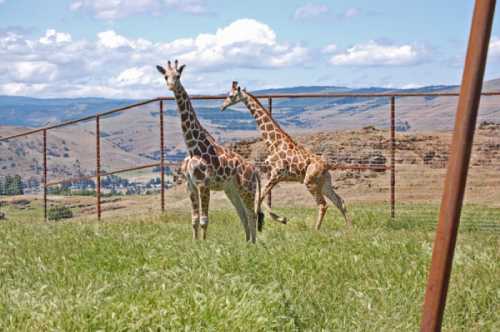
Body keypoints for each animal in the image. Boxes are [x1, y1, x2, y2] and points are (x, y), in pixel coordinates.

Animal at [156, 62, 266, 243]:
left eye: (178, 76)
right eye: (165, 76)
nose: (171, 86)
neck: (193, 148)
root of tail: (254, 170)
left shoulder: (204, 184)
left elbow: (204, 220)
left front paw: (204, 243)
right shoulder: (190, 185)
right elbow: (194, 219)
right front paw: (195, 243)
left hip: (247, 188)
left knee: (252, 214)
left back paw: (254, 243)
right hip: (232, 190)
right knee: (243, 214)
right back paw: (247, 243)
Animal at [221, 81, 350, 230]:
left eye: (231, 96)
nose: (222, 106)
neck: (273, 143)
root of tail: (326, 166)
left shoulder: (276, 174)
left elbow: (261, 196)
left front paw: (274, 220)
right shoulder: (272, 174)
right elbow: (261, 196)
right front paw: (267, 219)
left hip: (310, 181)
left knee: (323, 204)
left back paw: (315, 230)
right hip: (324, 183)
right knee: (340, 202)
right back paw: (349, 228)